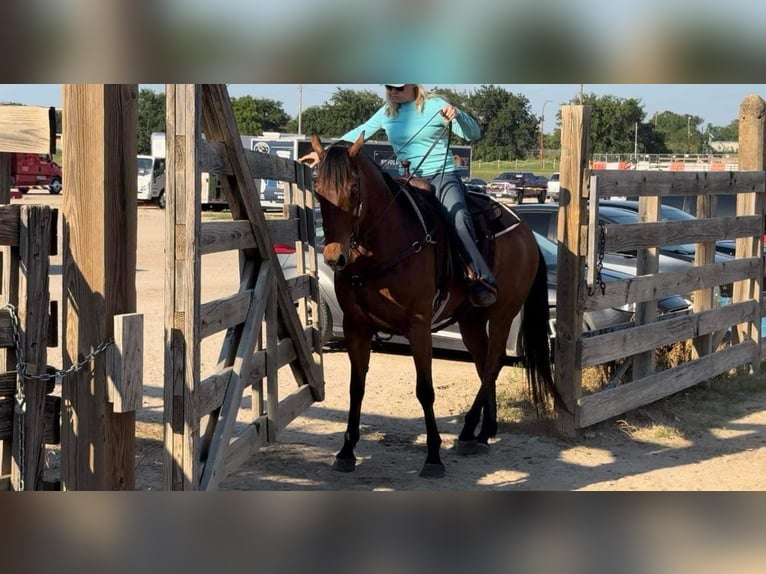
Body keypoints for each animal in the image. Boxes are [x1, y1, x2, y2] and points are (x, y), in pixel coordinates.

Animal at [308, 133, 557, 478]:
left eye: (353, 190)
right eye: (317, 189)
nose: (334, 257)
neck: (385, 243)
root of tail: (525, 231)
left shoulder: (419, 326)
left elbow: (425, 389)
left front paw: (433, 456)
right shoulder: (355, 326)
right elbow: (356, 388)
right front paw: (346, 451)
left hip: (503, 313)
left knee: (492, 365)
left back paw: (468, 430)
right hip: (470, 321)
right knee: (483, 364)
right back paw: (483, 432)